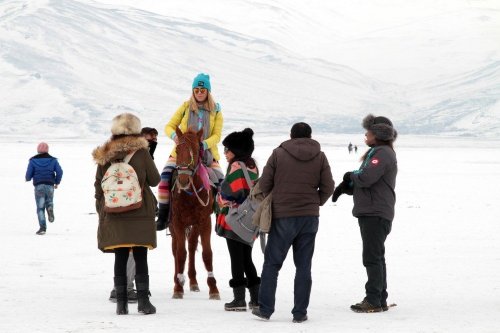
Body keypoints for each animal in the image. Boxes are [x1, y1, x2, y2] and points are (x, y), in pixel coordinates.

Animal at [169, 126, 220, 298]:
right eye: (177, 149)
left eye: (197, 149)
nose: (183, 180)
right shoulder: (177, 221)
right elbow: (180, 253)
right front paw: (178, 288)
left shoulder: (204, 221)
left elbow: (207, 254)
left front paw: (213, 289)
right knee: (176, 249)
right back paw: (178, 280)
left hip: (195, 225)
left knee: (191, 246)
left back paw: (193, 282)